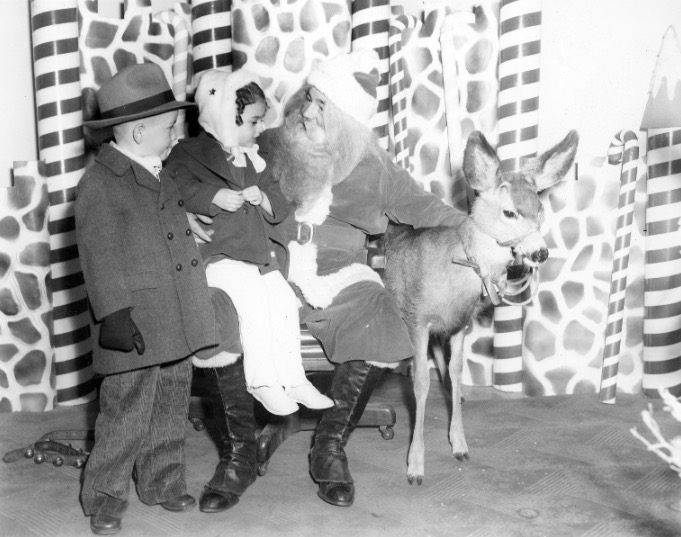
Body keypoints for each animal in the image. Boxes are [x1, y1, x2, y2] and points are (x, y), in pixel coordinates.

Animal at [382, 127, 580, 484]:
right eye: (509, 212)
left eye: (540, 209)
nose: (541, 252)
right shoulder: (417, 319)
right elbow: (420, 384)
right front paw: (415, 465)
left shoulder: (459, 324)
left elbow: (457, 371)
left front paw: (459, 444)